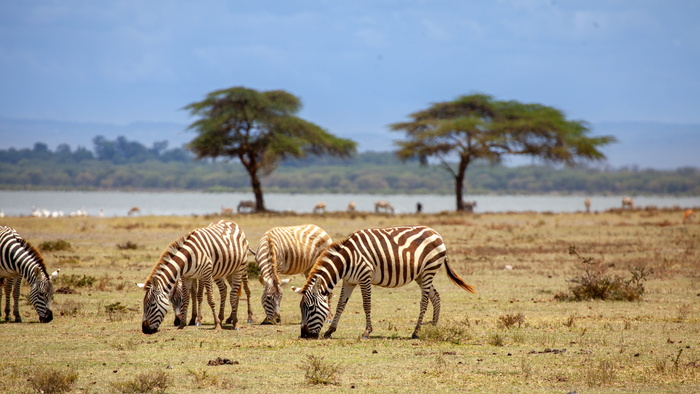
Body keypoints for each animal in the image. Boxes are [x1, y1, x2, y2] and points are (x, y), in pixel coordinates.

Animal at [292, 226, 478, 340]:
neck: (346, 260)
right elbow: (340, 305)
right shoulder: (349, 281)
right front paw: (330, 331)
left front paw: (367, 332)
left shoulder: (365, 277)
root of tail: (436, 233)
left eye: (310, 308)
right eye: (301, 308)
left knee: (425, 301)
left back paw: (416, 332)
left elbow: (366, 304)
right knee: (436, 296)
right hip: (421, 274)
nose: (304, 335)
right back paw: (434, 326)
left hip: (428, 271)